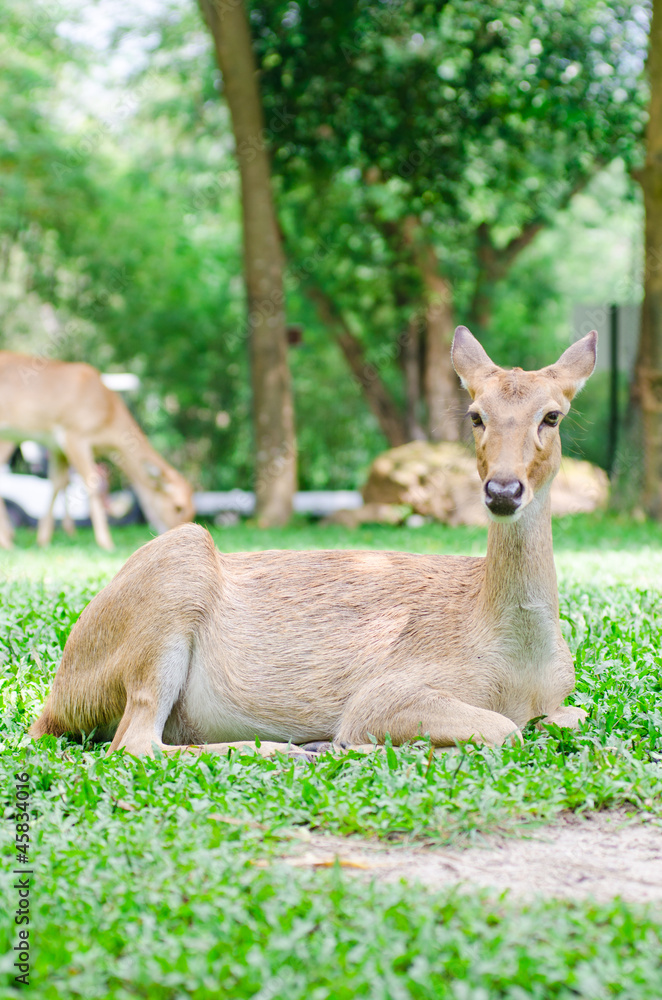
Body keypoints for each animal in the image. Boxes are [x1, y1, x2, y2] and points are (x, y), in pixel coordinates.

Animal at [0, 354, 196, 556]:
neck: (108, 415)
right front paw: (106, 543)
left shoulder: (56, 446)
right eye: (178, 507)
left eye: (192, 511)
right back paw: (7, 541)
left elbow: (57, 483)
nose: (176, 532)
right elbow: (91, 484)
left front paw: (44, 539)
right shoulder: (75, 435)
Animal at [28, 328, 600, 756]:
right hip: (171, 579)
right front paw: (361, 743)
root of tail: (56, 702)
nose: (503, 490)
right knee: (134, 741)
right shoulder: (387, 691)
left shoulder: (563, 697)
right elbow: (503, 730)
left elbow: (571, 716)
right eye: (475, 414)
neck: (515, 668)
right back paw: (291, 748)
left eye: (553, 415)